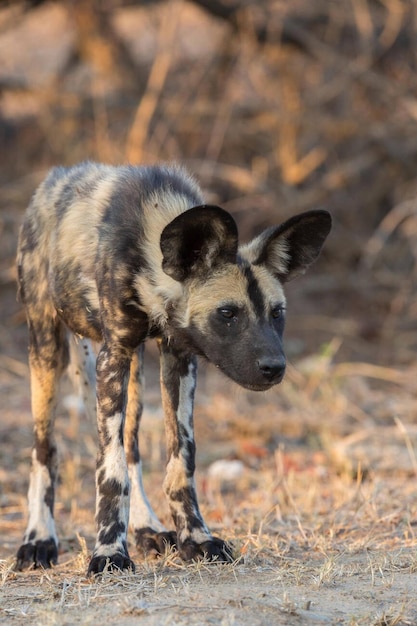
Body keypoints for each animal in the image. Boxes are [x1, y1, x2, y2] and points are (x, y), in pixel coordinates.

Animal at [16, 162, 332, 576]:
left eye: (277, 313)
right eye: (227, 313)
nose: (274, 368)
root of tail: (53, 178)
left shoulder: (178, 357)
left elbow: (180, 460)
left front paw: (195, 540)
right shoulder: (114, 355)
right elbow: (110, 472)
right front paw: (109, 553)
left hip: (134, 379)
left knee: (130, 449)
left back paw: (146, 529)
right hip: (48, 352)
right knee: (45, 451)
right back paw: (39, 539)